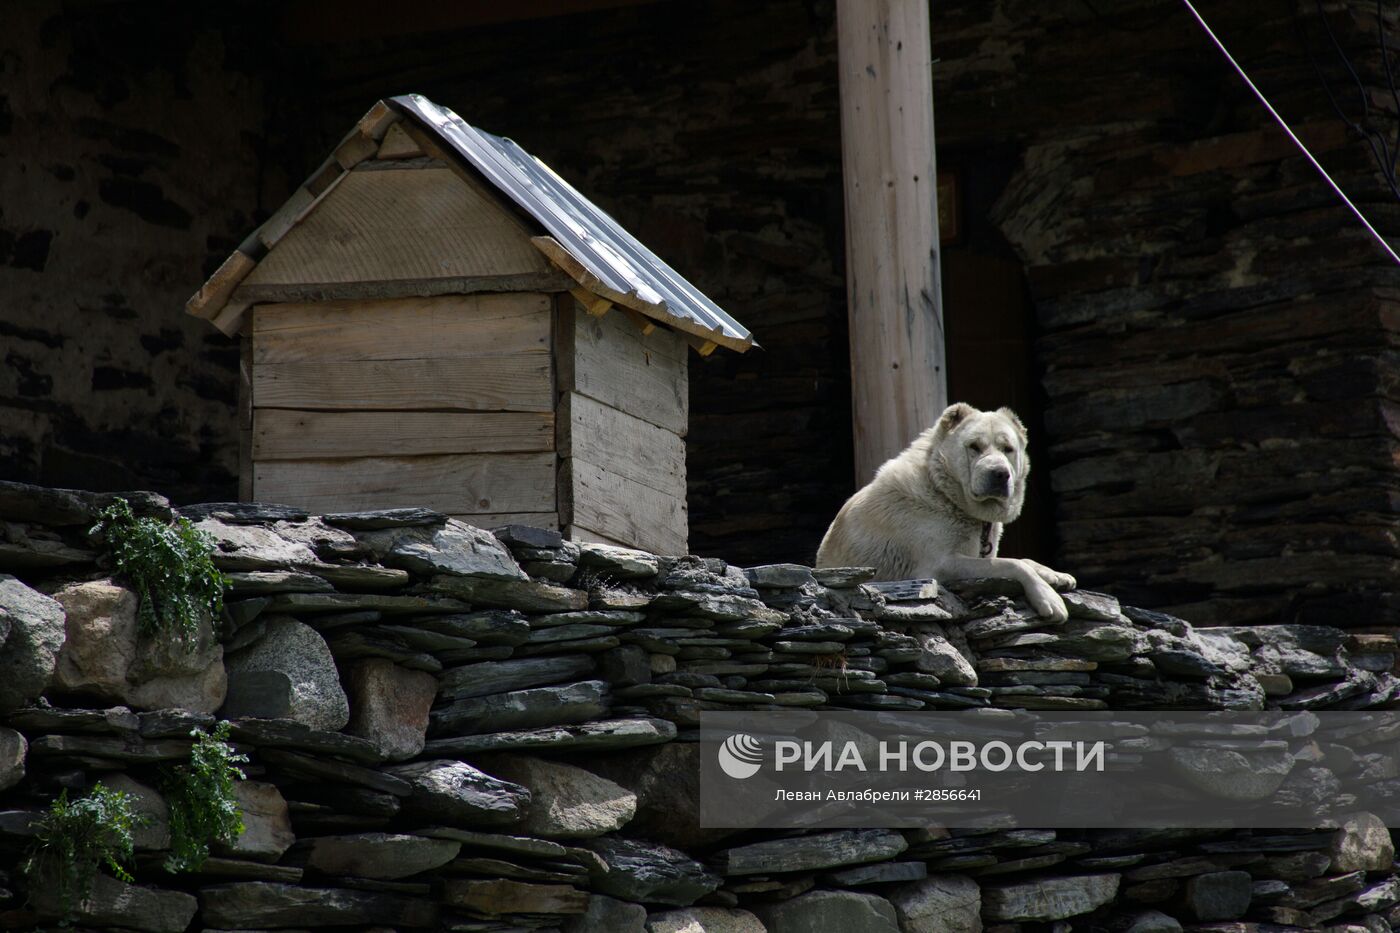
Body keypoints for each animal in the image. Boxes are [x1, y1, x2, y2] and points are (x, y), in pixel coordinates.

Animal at [817, 400, 1075, 616]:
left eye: (1008, 449)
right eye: (974, 446)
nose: (1000, 474)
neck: (943, 491)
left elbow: (1024, 559)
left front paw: (1056, 575)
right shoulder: (939, 566)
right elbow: (1012, 563)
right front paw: (1048, 598)